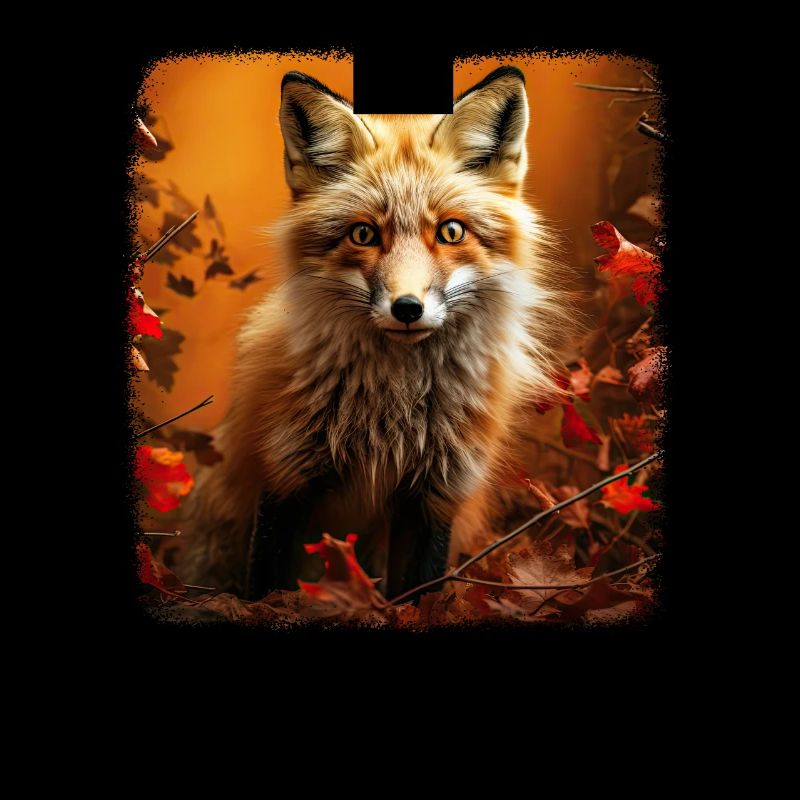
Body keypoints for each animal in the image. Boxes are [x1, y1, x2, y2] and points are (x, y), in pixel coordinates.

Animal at [177, 66, 573, 601]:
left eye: (451, 232)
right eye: (363, 234)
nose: (407, 308)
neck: (392, 412)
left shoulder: (435, 495)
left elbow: (418, 594)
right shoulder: (285, 476)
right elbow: (267, 588)